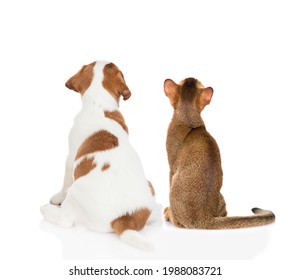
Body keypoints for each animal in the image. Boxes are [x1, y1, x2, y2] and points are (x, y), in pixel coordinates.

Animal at [40, 60, 162, 250]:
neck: (100, 105)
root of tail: (125, 219)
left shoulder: (70, 158)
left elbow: (65, 183)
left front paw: (57, 198)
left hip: (76, 192)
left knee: (65, 219)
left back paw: (46, 210)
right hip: (151, 188)